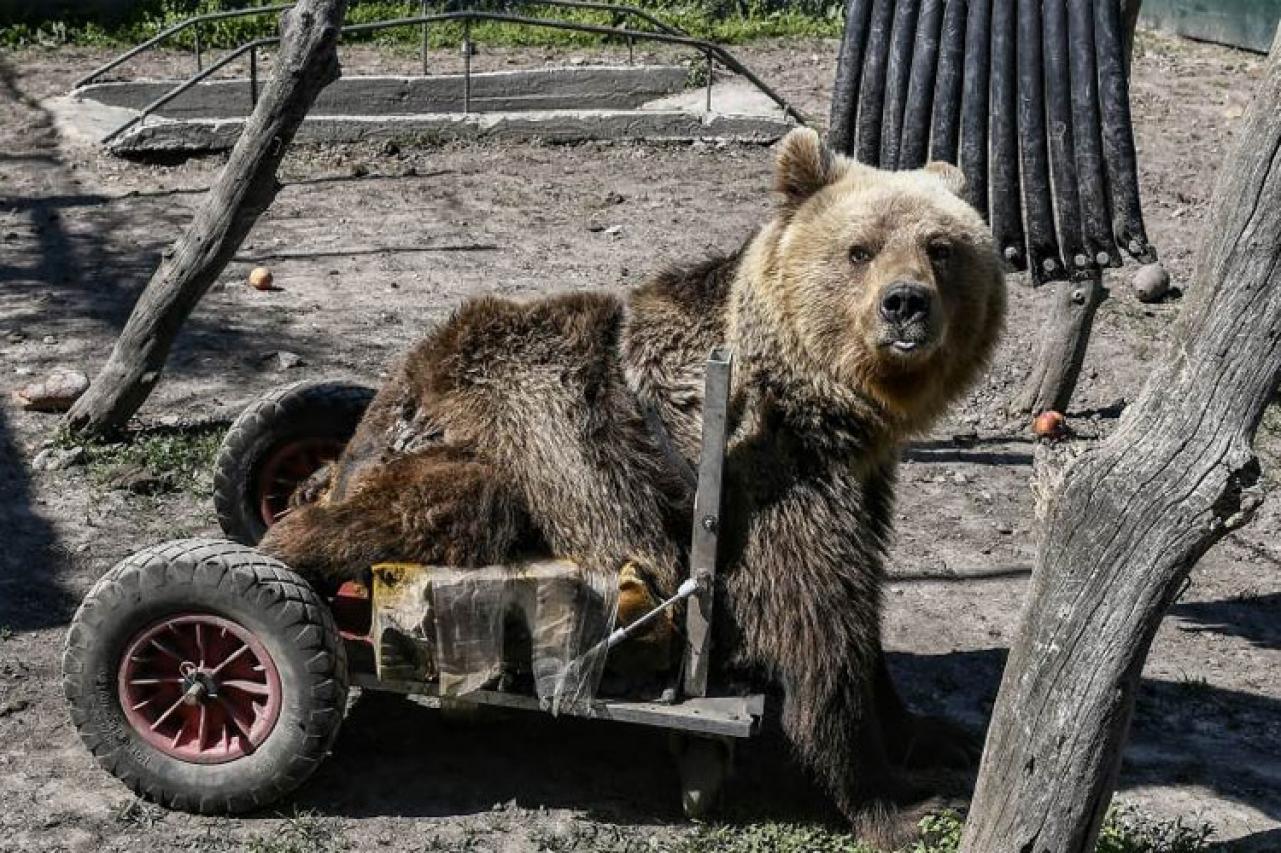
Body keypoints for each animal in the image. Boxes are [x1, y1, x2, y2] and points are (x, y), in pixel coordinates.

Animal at [257, 126, 999, 835]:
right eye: (859, 250)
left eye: (940, 247)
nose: (905, 304)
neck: (822, 402)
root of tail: (383, 409)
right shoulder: (767, 477)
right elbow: (817, 626)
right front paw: (894, 803)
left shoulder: (860, 479)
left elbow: (861, 614)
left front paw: (935, 736)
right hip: (490, 442)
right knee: (432, 509)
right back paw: (285, 558)